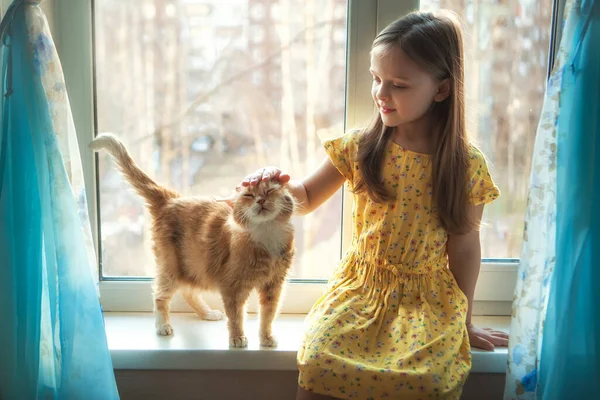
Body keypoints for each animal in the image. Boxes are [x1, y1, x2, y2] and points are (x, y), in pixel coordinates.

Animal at [91, 134, 296, 346]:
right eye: (248, 195)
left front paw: (266, 337)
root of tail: (171, 199)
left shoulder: (273, 286)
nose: (261, 201)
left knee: (188, 291)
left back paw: (207, 313)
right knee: (160, 297)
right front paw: (237, 337)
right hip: (171, 269)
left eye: (269, 191)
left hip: (194, 268)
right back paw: (163, 325)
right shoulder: (233, 287)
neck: (267, 234)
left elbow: (267, 316)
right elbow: (236, 316)